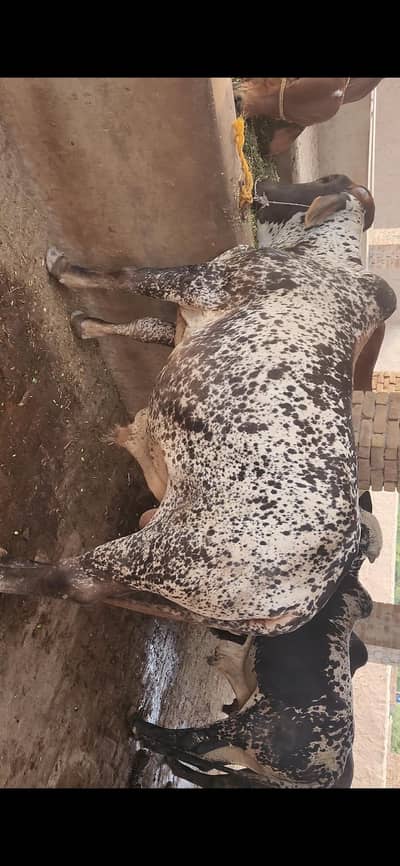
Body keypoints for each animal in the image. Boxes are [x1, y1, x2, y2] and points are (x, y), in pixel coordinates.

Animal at [0, 175, 395, 641]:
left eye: (322, 180)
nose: (265, 183)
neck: (326, 259)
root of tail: (303, 604)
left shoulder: (204, 280)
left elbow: (131, 276)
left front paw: (64, 269)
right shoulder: (187, 322)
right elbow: (148, 326)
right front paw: (89, 325)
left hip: (165, 553)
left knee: (77, 580)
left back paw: (7, 570)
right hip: (188, 593)